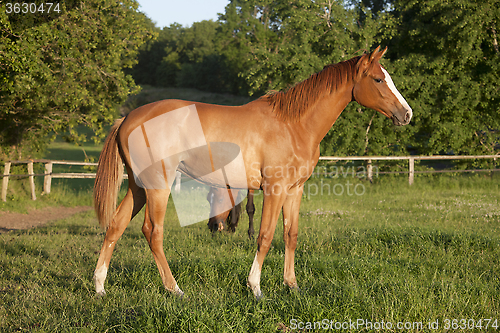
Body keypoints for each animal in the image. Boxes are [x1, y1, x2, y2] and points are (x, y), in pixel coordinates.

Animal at [93, 45, 410, 296]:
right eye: (378, 79)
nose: (406, 114)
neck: (293, 125)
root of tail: (128, 118)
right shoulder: (274, 190)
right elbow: (265, 236)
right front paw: (255, 287)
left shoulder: (295, 190)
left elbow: (290, 235)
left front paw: (291, 285)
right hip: (158, 187)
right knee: (153, 232)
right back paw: (174, 289)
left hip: (138, 187)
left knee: (115, 227)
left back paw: (100, 287)